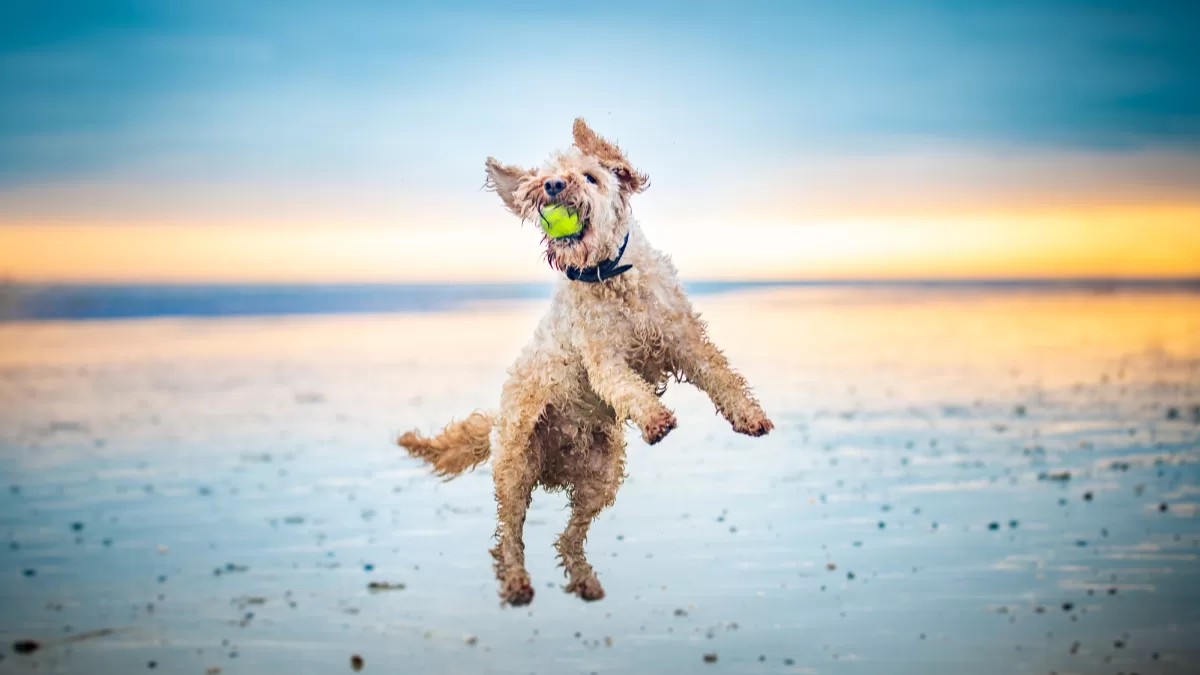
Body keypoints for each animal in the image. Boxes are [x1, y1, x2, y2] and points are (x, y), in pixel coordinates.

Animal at [400, 117, 777, 605]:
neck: (610, 276)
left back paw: (583, 580)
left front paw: (749, 415)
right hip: (515, 467)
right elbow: (626, 386)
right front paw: (655, 418)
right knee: (508, 537)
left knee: (568, 538)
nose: (553, 185)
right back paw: (517, 582)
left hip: (602, 477)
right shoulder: (603, 359)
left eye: (591, 177)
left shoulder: (684, 338)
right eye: (544, 178)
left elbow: (720, 375)